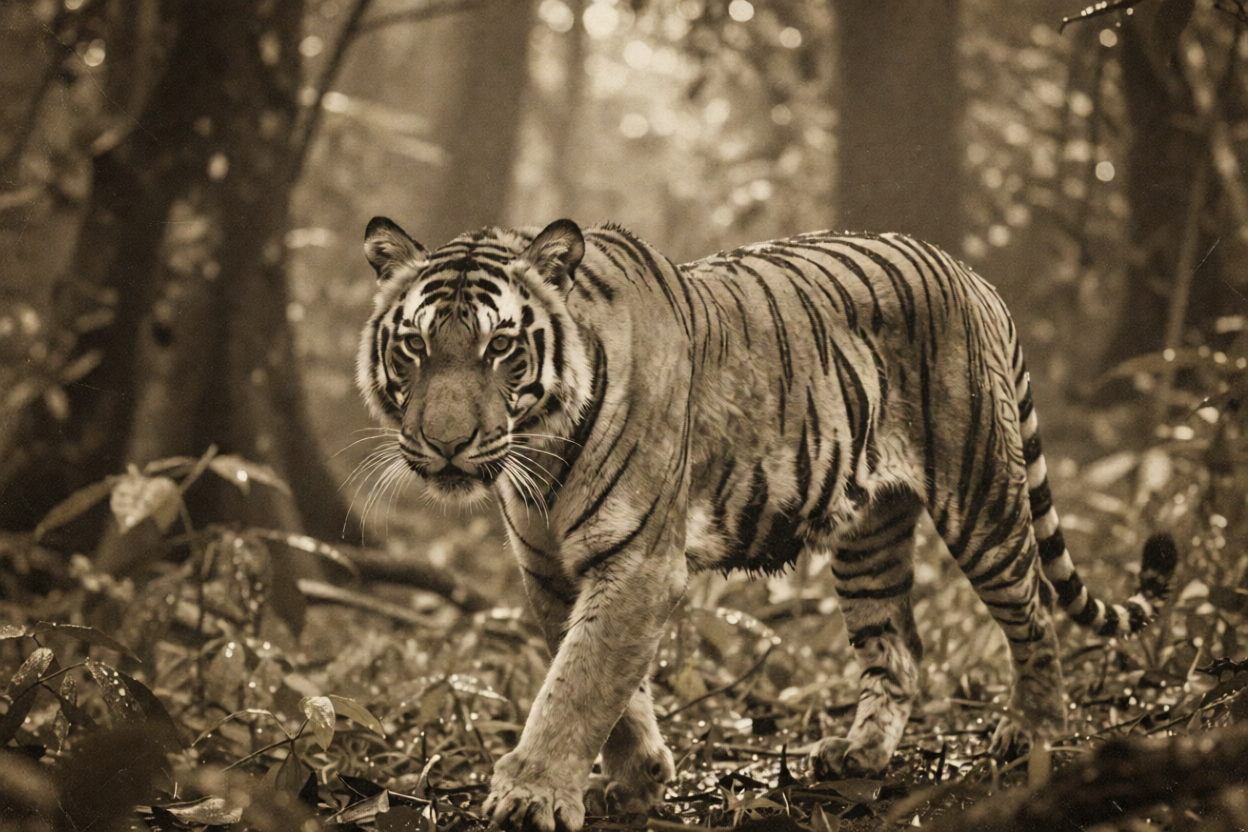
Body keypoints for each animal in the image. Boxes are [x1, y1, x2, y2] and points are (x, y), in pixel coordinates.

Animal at [357, 215, 1178, 832]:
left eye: (500, 346)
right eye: (415, 346)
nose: (446, 443)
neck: (541, 453)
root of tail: (972, 275)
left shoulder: (639, 562)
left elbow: (578, 685)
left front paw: (531, 794)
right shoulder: (551, 569)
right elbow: (604, 686)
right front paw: (639, 780)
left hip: (982, 497)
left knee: (1032, 614)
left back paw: (1033, 729)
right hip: (868, 535)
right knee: (900, 648)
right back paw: (859, 755)